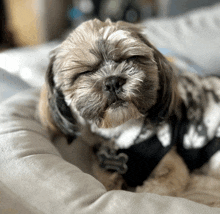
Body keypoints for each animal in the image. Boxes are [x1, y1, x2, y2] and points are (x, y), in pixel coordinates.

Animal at [38, 18, 220, 196]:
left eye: (130, 58)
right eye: (85, 72)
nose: (113, 81)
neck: (121, 132)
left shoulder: (173, 168)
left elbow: (154, 190)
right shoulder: (104, 168)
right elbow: (108, 182)